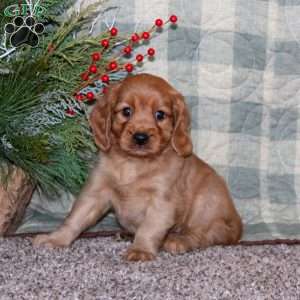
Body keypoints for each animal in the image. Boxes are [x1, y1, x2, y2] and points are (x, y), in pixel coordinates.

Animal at [33, 72, 244, 260]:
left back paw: (178, 240)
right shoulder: (96, 192)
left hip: (206, 201)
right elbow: (75, 219)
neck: (133, 163)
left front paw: (141, 250)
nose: (140, 137)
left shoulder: (161, 201)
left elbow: (149, 228)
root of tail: (238, 225)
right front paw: (55, 239)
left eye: (160, 114)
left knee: (204, 234)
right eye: (127, 111)